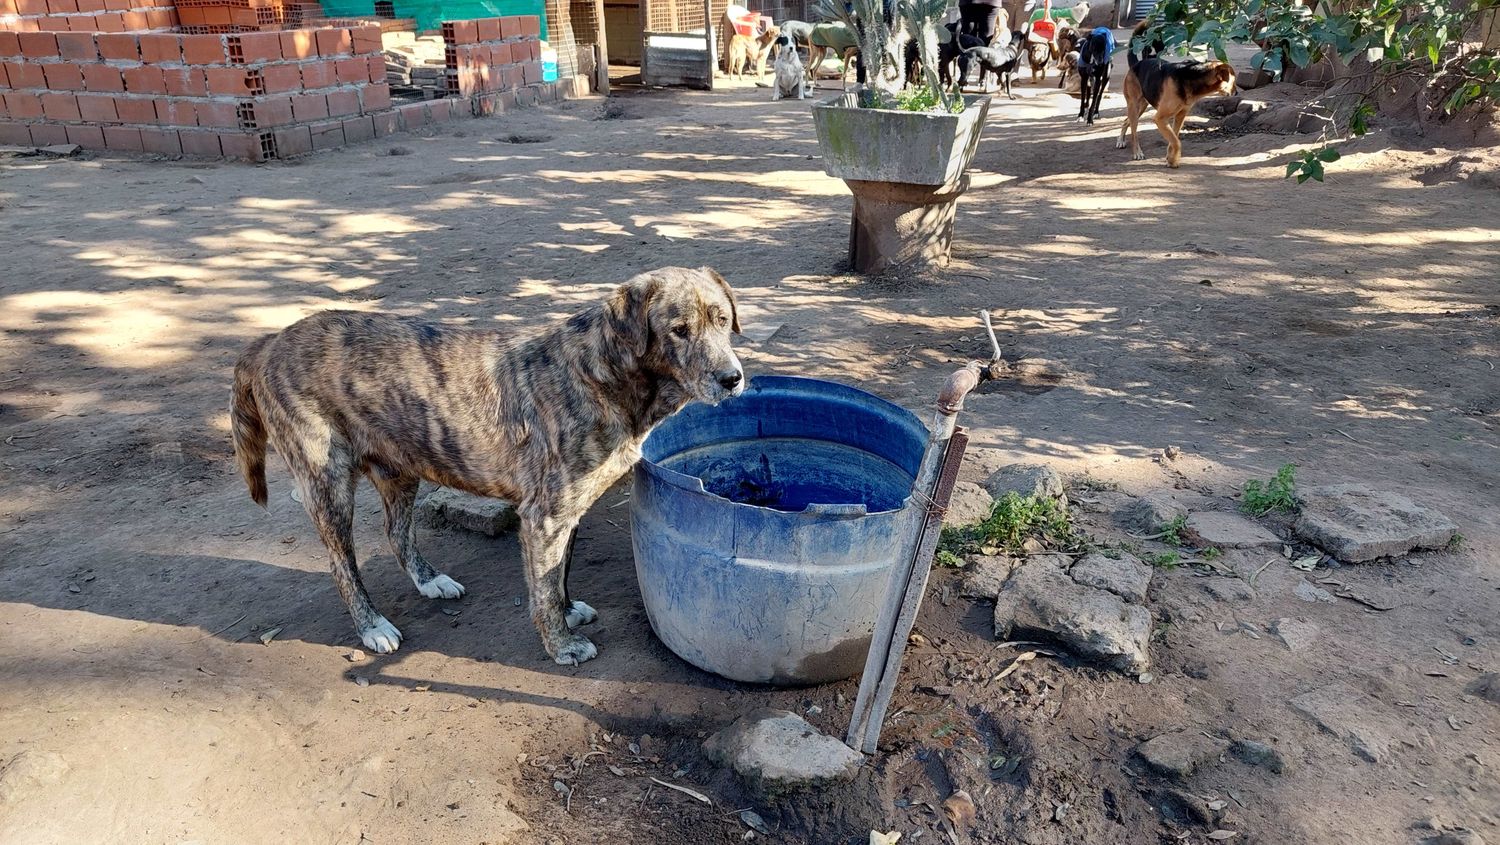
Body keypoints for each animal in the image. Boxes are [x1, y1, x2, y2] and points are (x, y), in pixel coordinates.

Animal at [231, 267, 747, 663]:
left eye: (722, 320)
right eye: (679, 329)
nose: (733, 378)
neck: (603, 371)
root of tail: (268, 341)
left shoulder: (567, 514)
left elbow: (559, 570)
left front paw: (567, 610)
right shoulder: (545, 516)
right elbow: (543, 586)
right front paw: (562, 643)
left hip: (400, 469)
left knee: (396, 533)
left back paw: (430, 581)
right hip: (328, 483)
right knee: (342, 564)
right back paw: (373, 626)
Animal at [1122, 19, 1236, 165]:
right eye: (1234, 81)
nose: (1237, 93)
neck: (1192, 78)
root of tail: (1136, 64)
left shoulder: (1180, 115)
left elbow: (1174, 138)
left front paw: (1170, 157)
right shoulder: (1159, 118)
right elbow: (1176, 141)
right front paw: (1173, 160)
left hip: (1141, 106)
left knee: (1127, 122)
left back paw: (1121, 141)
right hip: (1134, 106)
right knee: (1134, 131)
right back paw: (1137, 152)